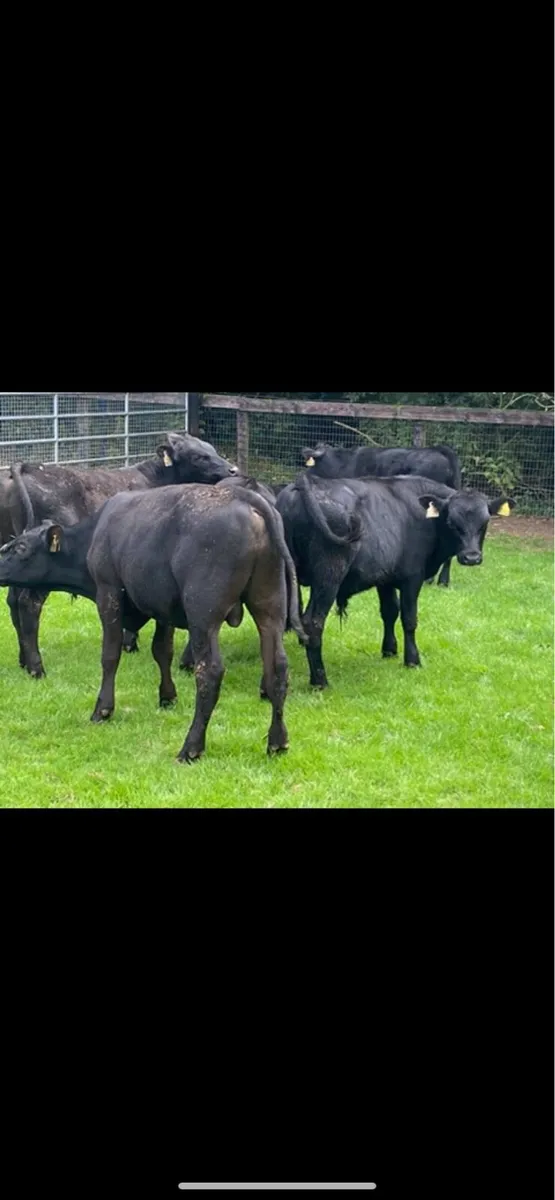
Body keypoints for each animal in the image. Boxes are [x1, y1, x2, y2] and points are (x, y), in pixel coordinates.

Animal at [0, 484, 306, 762]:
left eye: (22, 547)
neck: (95, 532)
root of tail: (246, 497)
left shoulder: (108, 592)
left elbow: (110, 655)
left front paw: (103, 709)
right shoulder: (163, 607)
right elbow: (162, 651)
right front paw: (167, 697)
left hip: (203, 614)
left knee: (210, 672)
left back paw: (191, 748)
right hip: (269, 605)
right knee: (277, 667)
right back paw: (277, 742)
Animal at [2, 432, 237, 678]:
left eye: (211, 449)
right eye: (198, 456)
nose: (233, 470)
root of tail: (30, 467)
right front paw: (130, 643)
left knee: (14, 601)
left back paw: (23, 661)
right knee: (29, 604)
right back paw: (36, 668)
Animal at [276, 471, 513, 690]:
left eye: (484, 523)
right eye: (452, 523)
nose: (471, 557)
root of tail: (307, 483)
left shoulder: (385, 579)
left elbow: (389, 612)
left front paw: (389, 649)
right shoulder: (412, 578)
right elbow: (409, 619)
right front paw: (412, 660)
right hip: (328, 577)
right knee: (313, 623)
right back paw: (320, 680)